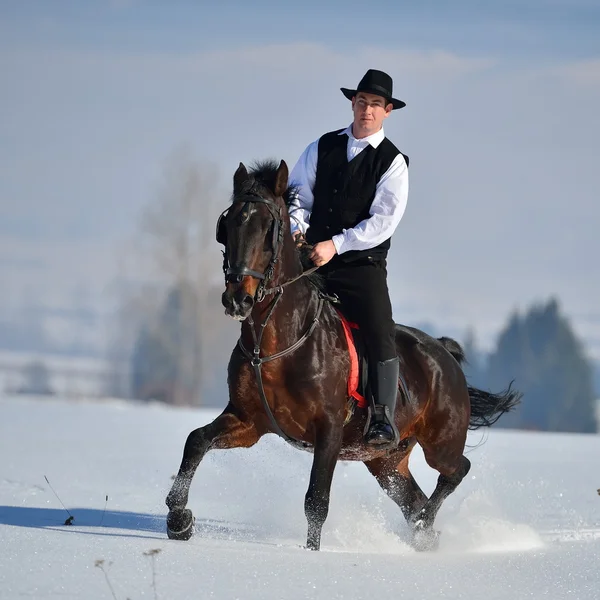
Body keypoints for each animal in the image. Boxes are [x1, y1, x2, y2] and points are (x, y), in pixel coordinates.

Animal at [165, 159, 520, 552]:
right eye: (226, 226)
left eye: (269, 227)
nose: (237, 299)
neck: (274, 345)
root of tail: (445, 354)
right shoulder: (248, 421)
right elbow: (196, 441)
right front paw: (179, 520)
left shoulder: (329, 429)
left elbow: (316, 501)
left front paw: (312, 554)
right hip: (386, 462)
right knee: (412, 498)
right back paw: (424, 534)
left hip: (440, 443)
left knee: (456, 471)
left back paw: (426, 524)